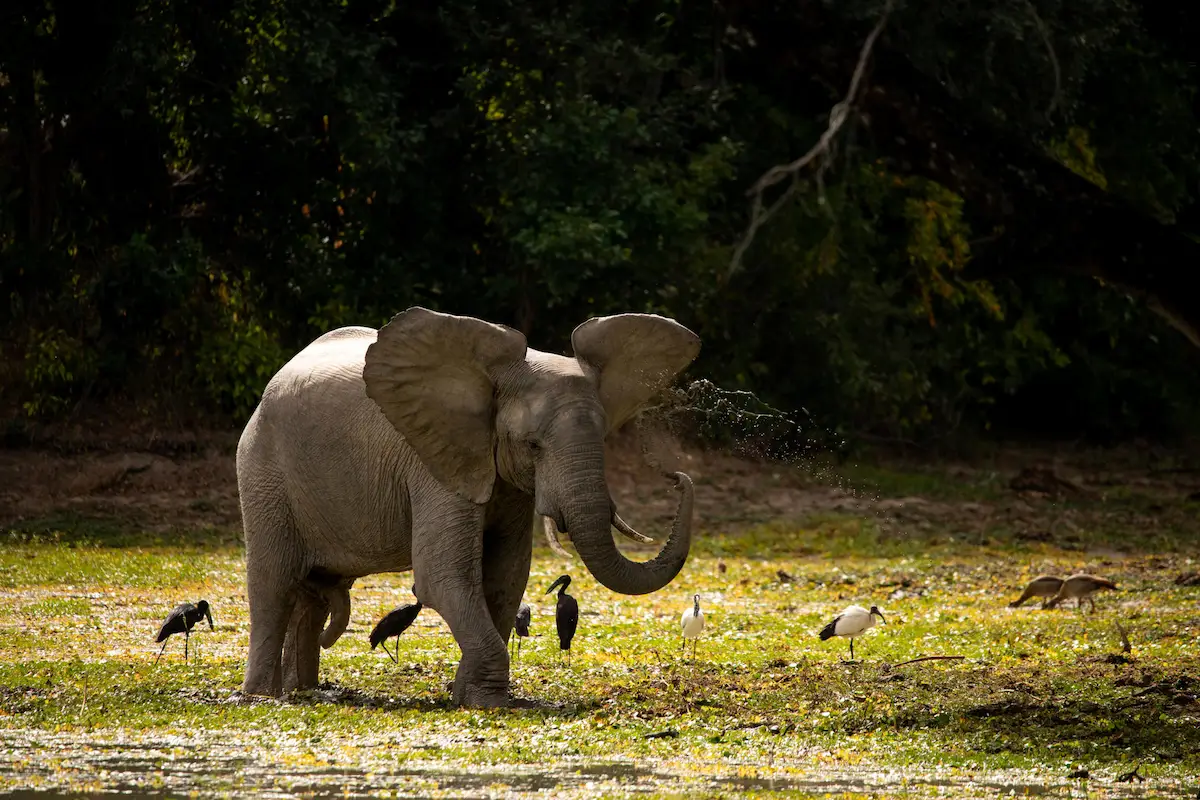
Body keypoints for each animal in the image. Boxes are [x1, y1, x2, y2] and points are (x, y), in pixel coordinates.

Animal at [234, 307, 700, 705]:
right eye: (533, 445)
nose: (677, 475)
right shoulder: (433, 462)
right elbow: (444, 575)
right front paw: (487, 702)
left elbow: (506, 575)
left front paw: (467, 696)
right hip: (262, 470)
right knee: (273, 583)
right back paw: (263, 696)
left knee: (312, 595)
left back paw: (305, 690)